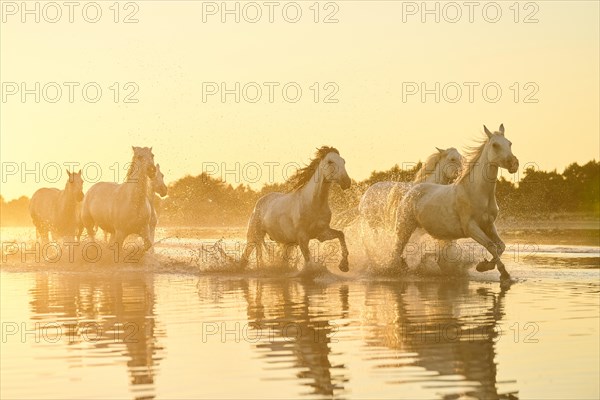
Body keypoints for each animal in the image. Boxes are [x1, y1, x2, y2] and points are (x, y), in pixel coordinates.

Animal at [239, 145, 352, 274]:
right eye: (330, 161)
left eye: (343, 161)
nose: (347, 182)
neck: (313, 204)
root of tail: (259, 202)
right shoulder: (302, 238)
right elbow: (309, 261)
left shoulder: (322, 234)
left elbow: (341, 234)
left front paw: (344, 266)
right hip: (255, 236)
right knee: (250, 255)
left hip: (285, 243)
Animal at [392, 124, 516, 278]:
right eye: (495, 145)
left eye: (510, 143)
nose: (514, 164)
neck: (477, 192)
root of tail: (411, 191)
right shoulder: (471, 227)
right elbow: (491, 246)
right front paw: (503, 273)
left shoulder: (489, 225)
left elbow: (501, 246)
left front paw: (484, 266)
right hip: (404, 227)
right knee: (396, 249)